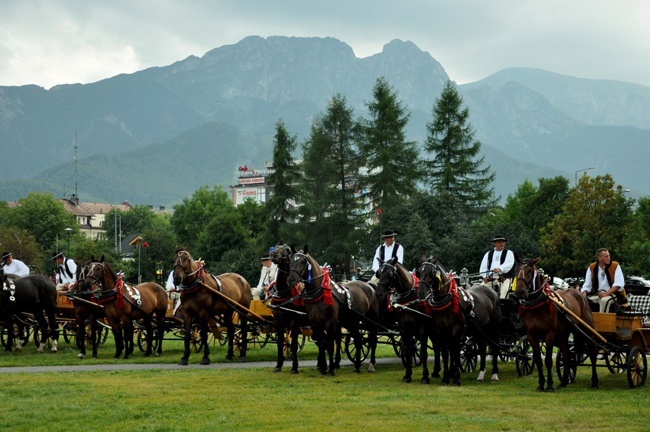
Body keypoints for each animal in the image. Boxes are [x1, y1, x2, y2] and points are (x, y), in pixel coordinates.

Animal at [286, 246, 378, 374]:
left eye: (303, 261)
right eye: (290, 261)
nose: (291, 280)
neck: (320, 292)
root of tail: (369, 285)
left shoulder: (329, 321)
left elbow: (329, 344)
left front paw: (330, 370)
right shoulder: (315, 322)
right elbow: (322, 343)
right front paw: (324, 367)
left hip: (370, 321)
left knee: (371, 341)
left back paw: (370, 364)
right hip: (350, 321)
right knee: (358, 340)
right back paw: (357, 366)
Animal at [372, 255, 442, 384]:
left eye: (390, 274)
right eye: (379, 273)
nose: (378, 294)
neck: (409, 299)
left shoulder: (423, 328)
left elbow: (423, 352)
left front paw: (425, 377)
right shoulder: (404, 328)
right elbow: (408, 351)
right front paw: (408, 375)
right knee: (437, 347)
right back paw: (436, 371)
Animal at [416, 256, 502, 384]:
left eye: (431, 272)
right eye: (419, 272)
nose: (421, 293)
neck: (447, 300)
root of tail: (492, 292)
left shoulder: (456, 329)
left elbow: (455, 351)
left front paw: (456, 377)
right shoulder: (441, 330)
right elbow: (446, 353)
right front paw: (446, 378)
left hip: (494, 328)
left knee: (495, 348)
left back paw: (495, 374)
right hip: (479, 329)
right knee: (482, 348)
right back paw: (481, 374)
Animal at [512, 256, 596, 392]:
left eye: (530, 271)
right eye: (516, 270)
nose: (519, 292)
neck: (537, 306)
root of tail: (581, 294)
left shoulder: (549, 334)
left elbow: (547, 360)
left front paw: (550, 385)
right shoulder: (531, 335)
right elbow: (538, 360)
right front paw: (541, 385)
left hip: (586, 330)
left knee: (593, 353)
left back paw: (594, 382)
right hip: (562, 335)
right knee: (567, 354)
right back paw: (564, 381)